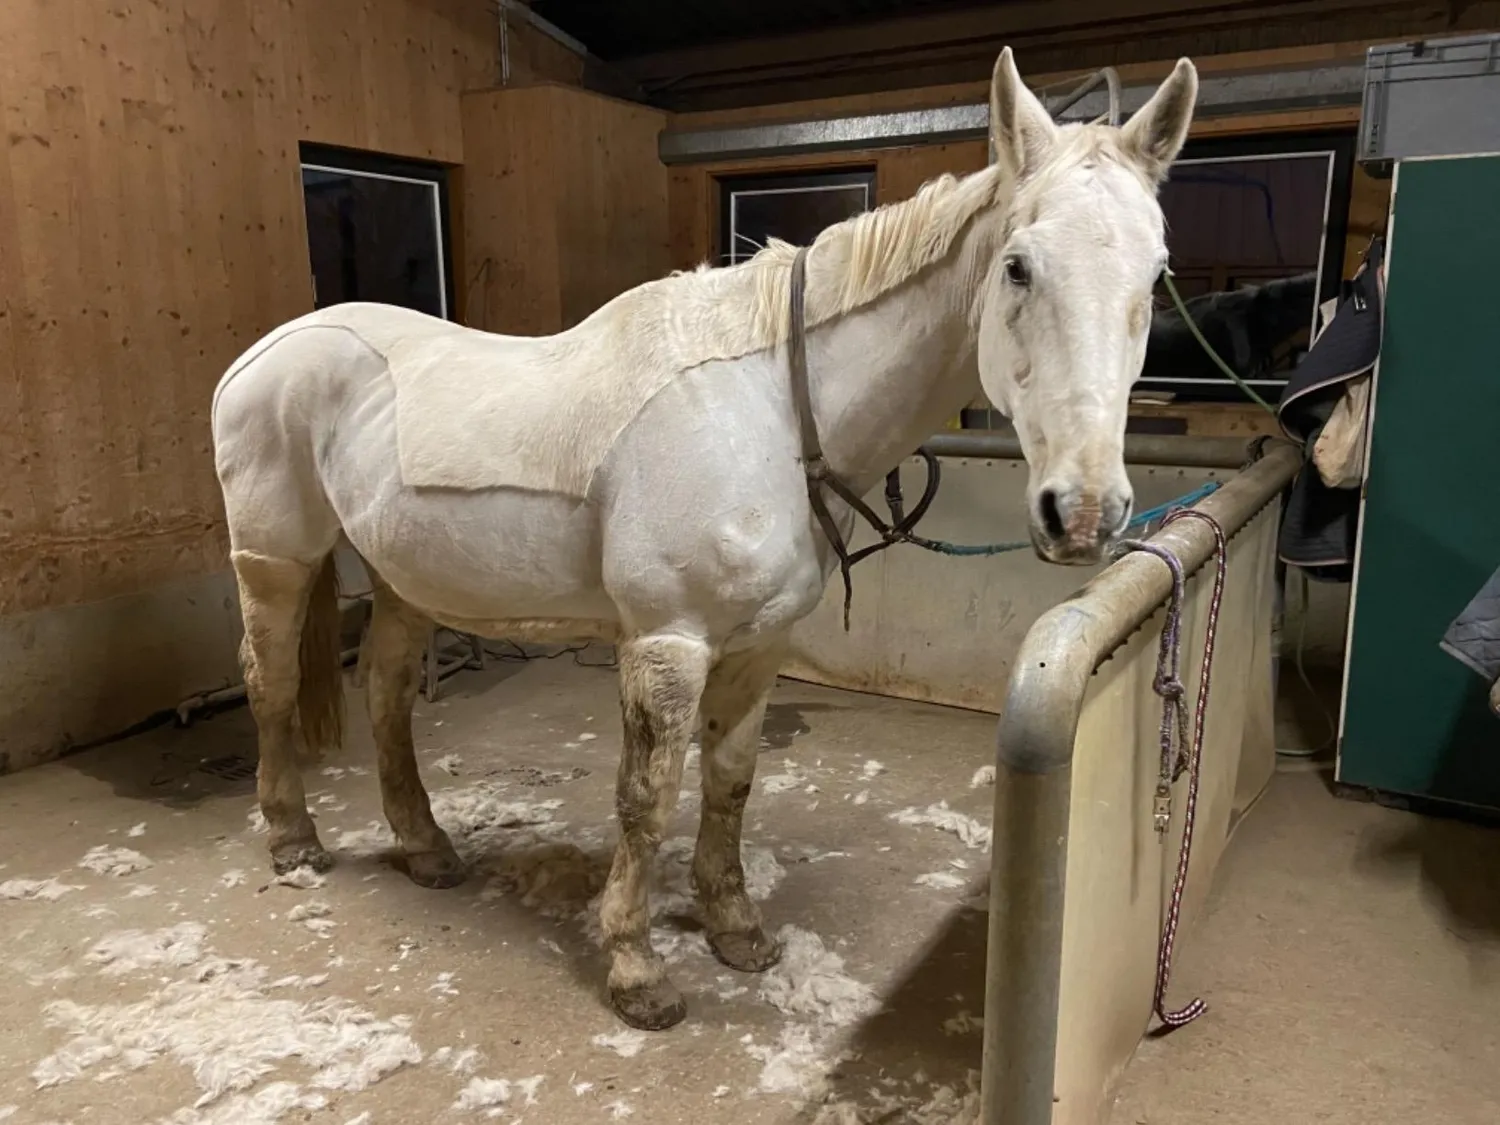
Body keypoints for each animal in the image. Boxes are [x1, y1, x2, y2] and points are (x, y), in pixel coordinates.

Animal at [210, 48, 1199, 1031]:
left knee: (384, 696)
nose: (1084, 512)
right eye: (1019, 268)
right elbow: (646, 800)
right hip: (276, 560)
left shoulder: (758, 646)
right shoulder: (668, 643)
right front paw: (636, 967)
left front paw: (734, 927)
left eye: (1154, 277)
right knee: (269, 682)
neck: (771, 403)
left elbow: (730, 781)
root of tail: (261, 354)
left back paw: (424, 846)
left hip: (403, 577)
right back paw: (293, 838)